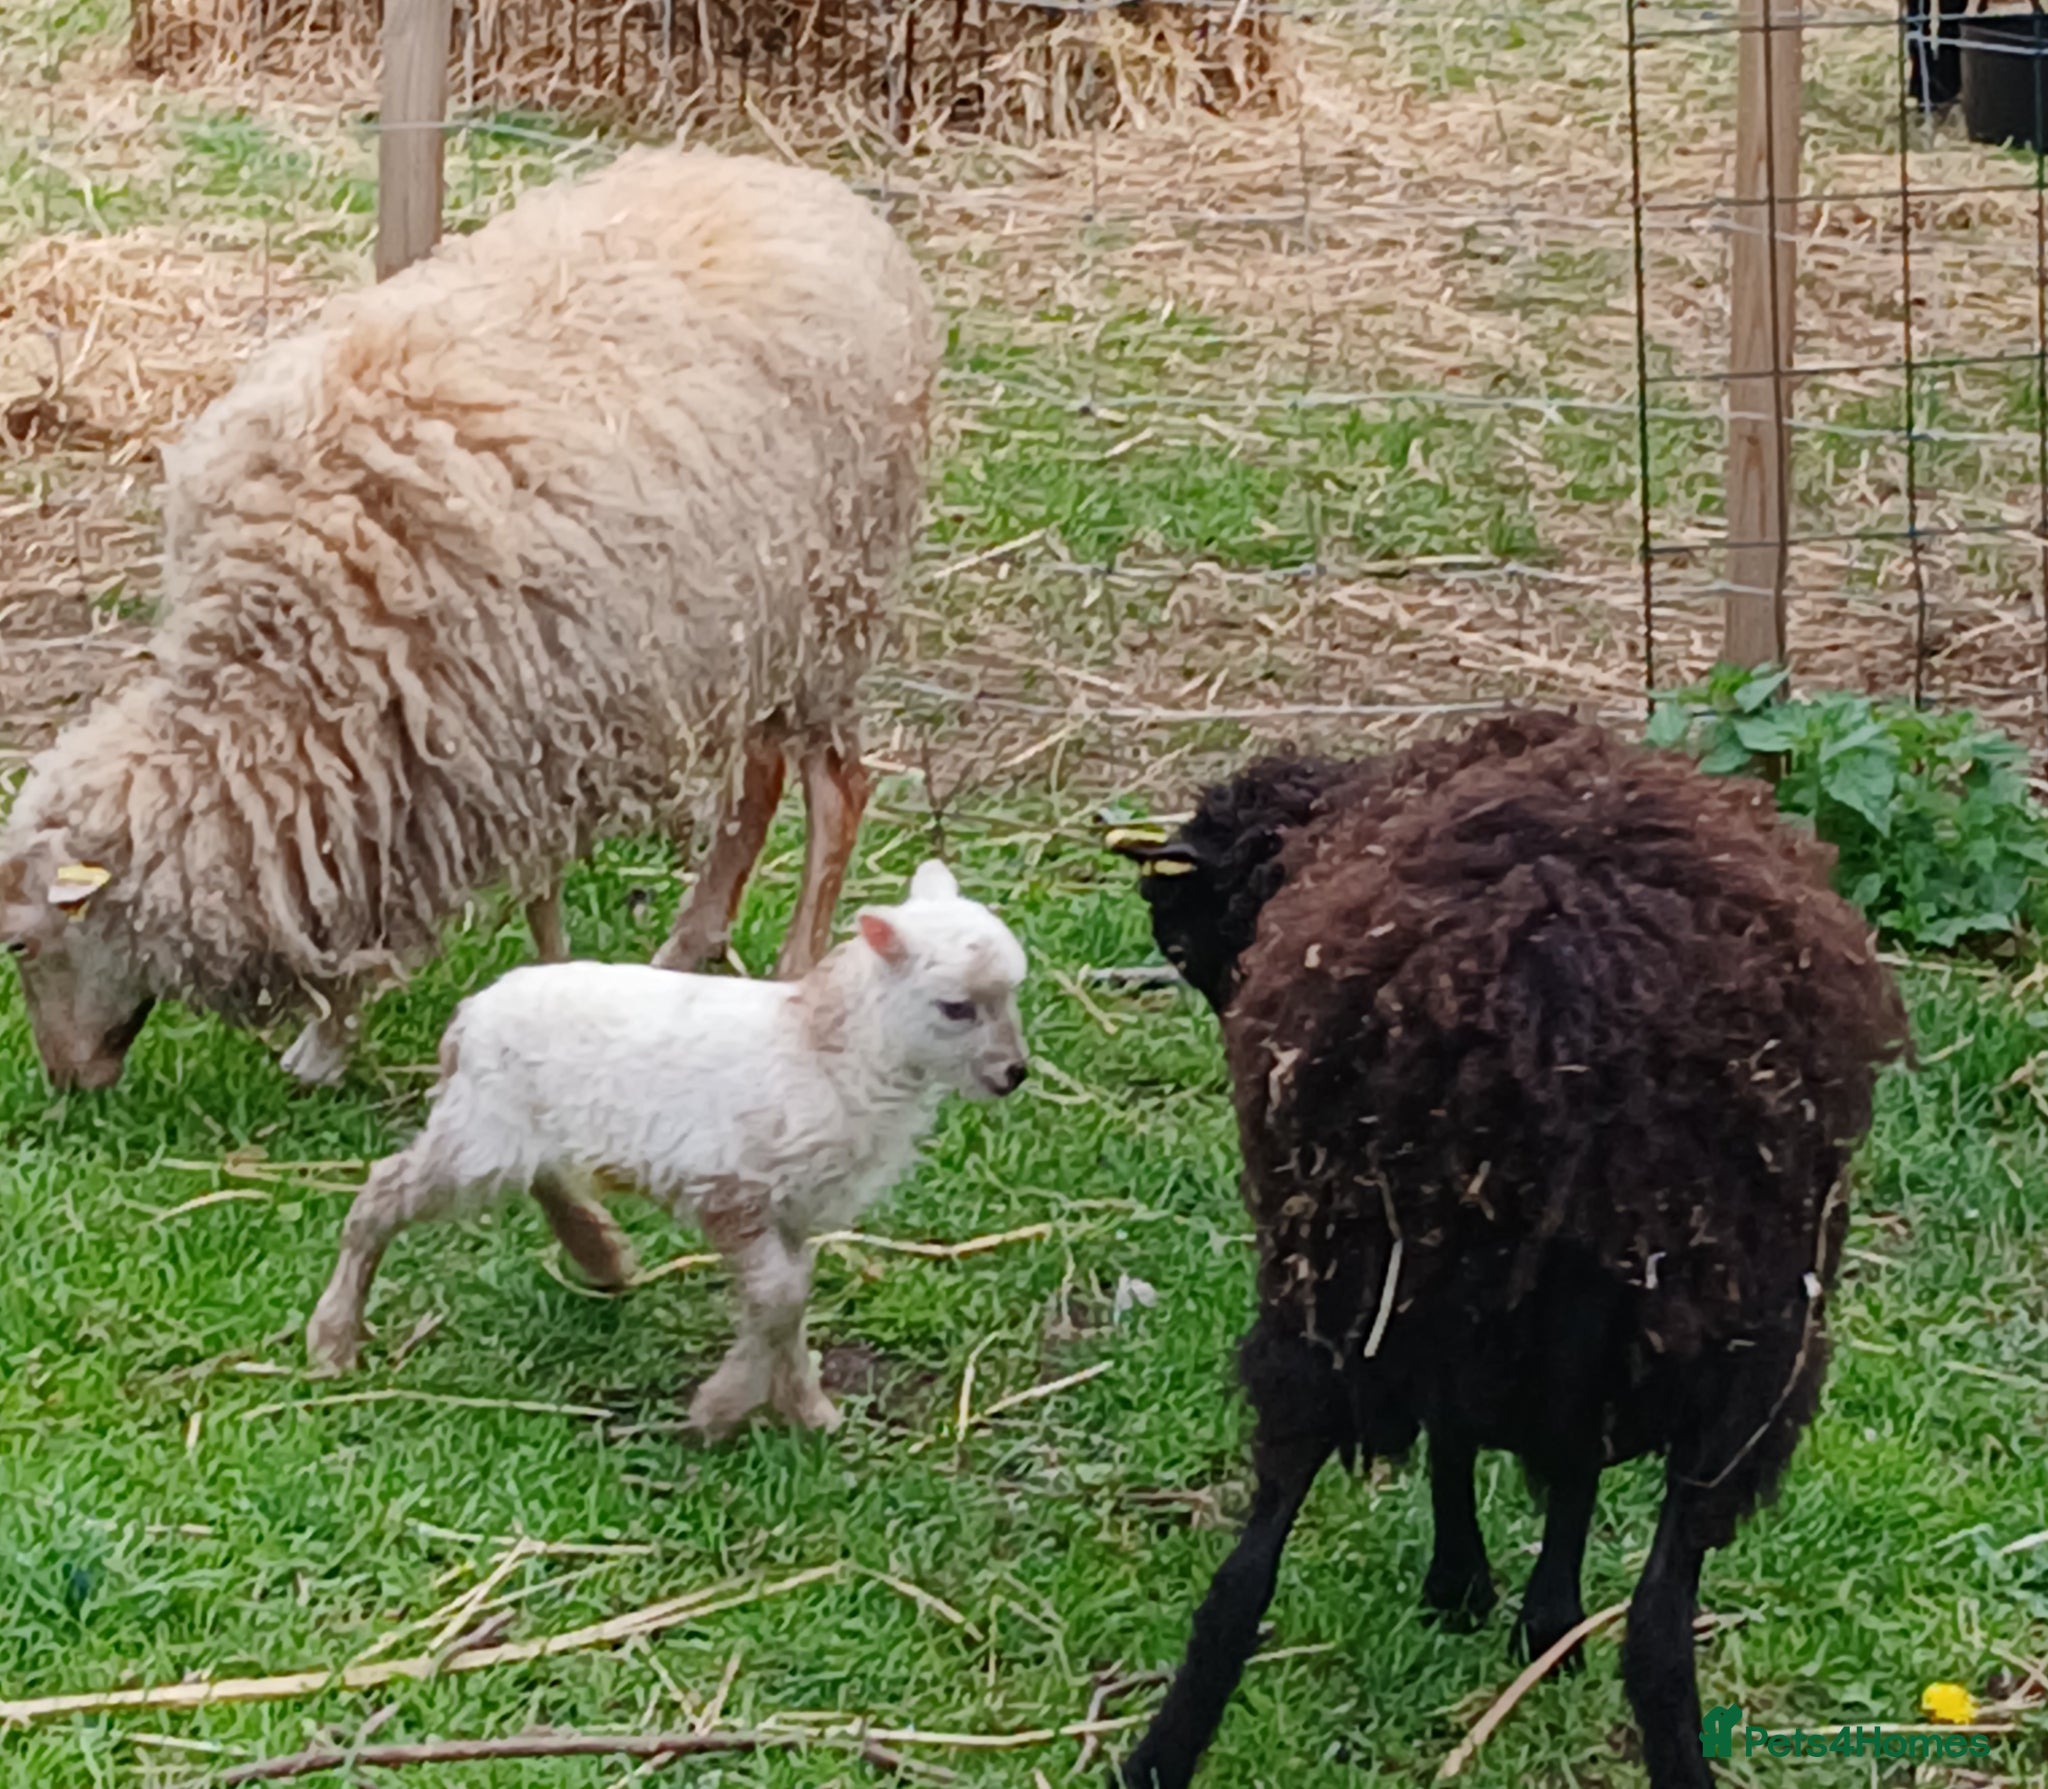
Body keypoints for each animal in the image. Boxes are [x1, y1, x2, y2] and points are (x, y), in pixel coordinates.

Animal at [0, 145, 938, 1091]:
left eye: (20, 944)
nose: (65, 1083)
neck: (285, 665)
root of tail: (808, 186)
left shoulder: (523, 727)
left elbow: (533, 894)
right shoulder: (414, 759)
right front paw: (333, 1039)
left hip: (834, 602)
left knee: (838, 791)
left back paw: (796, 965)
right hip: (755, 616)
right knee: (760, 777)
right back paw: (686, 948)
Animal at [306, 858, 1030, 1437]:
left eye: (1012, 994)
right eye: (956, 1007)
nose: (1014, 1074)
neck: (828, 1049)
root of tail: (467, 1017)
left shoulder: (789, 1207)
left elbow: (789, 1299)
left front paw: (802, 1406)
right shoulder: (731, 1189)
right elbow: (779, 1296)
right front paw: (722, 1408)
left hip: (516, 1119)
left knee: (543, 1176)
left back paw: (599, 1252)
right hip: (481, 1132)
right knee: (383, 1192)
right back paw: (332, 1340)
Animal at [1107, 711, 1909, 1789]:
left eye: (1187, 931)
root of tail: (1558, 974)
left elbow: (1473, 1451)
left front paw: (1478, 1593)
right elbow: (1549, 1469)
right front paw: (1525, 1612)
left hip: (1353, 1289)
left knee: (1244, 1577)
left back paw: (1155, 1757)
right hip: (1742, 1344)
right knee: (1657, 1630)